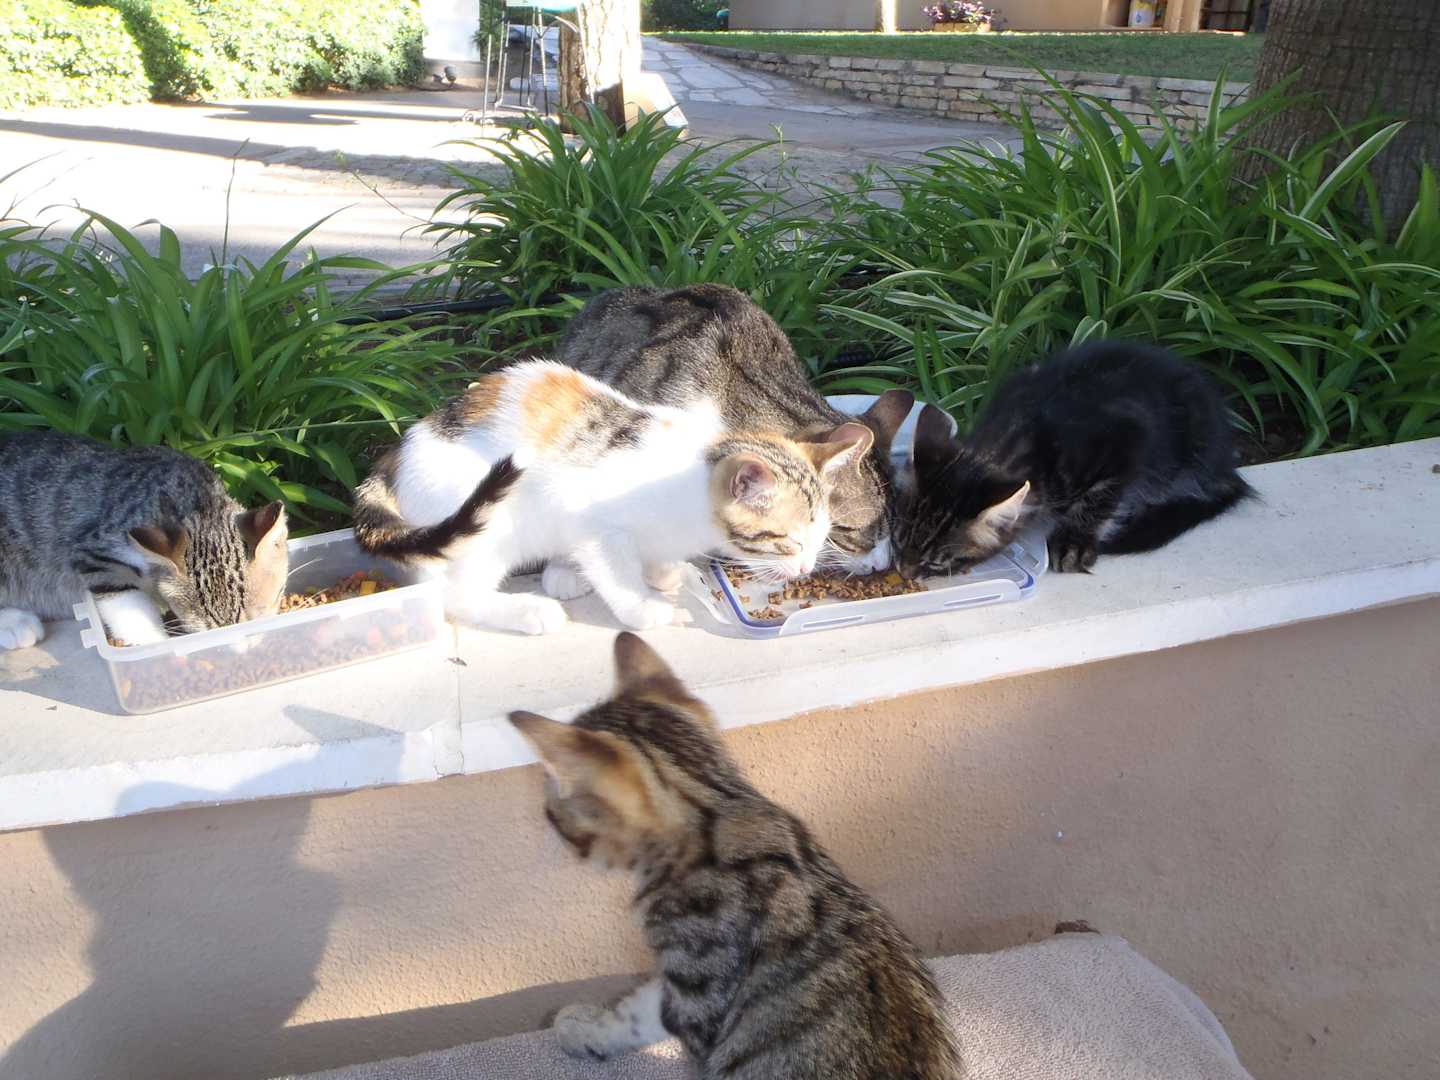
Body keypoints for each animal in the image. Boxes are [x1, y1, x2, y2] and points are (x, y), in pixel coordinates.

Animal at [0, 431, 288, 651]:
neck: (196, 503)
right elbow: (127, 603)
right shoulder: (94, 552)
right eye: (209, 629)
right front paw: (158, 648)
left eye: (260, 615)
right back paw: (15, 624)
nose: (242, 647)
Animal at [351, 360, 873, 636]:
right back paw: (527, 610)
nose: (805, 568)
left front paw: (661, 571)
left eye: (823, 538)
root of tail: (396, 454)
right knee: (452, 595)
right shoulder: (593, 524)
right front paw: (646, 608)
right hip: (487, 521)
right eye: (787, 541)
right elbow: (617, 575)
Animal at [509, 632, 963, 1080]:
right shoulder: (679, 985)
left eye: (552, 815)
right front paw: (590, 1031)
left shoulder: (699, 998)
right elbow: (638, 1010)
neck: (717, 811)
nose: (545, 821)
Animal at [894, 340, 1253, 577]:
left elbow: (1101, 497)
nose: (905, 572)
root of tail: (1227, 463)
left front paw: (1074, 542)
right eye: (897, 541)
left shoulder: (1129, 436)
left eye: (936, 560)